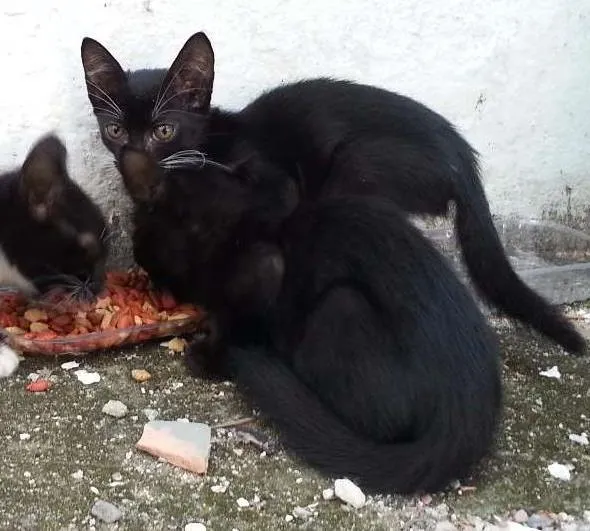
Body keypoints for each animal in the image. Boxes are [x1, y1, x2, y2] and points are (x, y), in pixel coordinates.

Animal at [82, 34, 588, 358]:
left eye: (164, 131)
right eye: (115, 130)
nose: (132, 158)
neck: (210, 140)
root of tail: (463, 157)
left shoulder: (274, 183)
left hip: (359, 165)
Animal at [117, 145, 504, 494]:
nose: (142, 264)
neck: (237, 217)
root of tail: (465, 417)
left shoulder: (263, 270)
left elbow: (236, 323)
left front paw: (208, 355)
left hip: (341, 306)